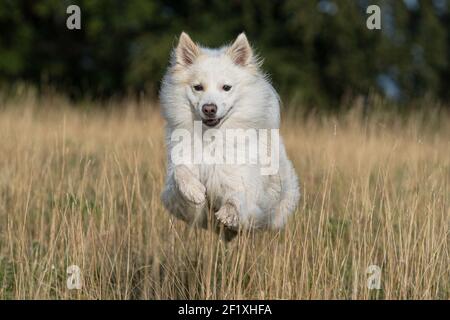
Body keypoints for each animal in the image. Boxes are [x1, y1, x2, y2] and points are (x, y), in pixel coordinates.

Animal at [160, 31, 300, 238]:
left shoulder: (242, 182)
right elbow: (181, 172)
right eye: (198, 87)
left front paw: (229, 213)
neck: (212, 138)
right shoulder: (177, 198)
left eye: (226, 87)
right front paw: (195, 191)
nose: (209, 108)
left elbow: (238, 197)